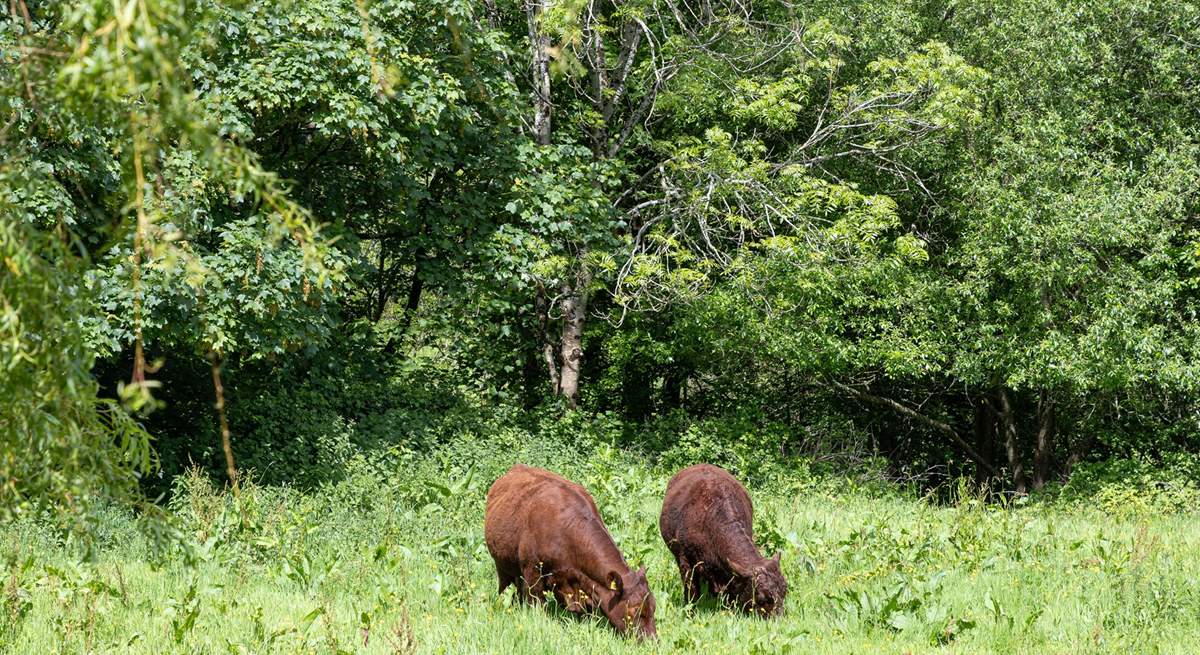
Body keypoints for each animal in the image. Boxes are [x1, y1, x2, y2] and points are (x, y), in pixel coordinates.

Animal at [484, 460, 657, 633]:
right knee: (505, 589)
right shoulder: (532, 570)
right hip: (502, 565)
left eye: (653, 607)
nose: (652, 639)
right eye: (634, 610)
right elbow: (537, 603)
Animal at [657, 460, 787, 614]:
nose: (778, 617)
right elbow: (691, 589)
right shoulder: (685, 560)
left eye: (785, 590)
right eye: (762, 599)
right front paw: (690, 610)